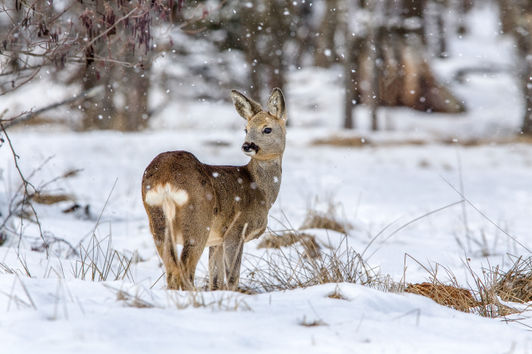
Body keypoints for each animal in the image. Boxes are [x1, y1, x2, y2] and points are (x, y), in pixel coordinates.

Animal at [142, 88, 286, 290]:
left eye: (267, 129)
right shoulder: (236, 229)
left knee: (171, 269)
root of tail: (165, 179)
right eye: (246, 129)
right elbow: (232, 277)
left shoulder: (216, 240)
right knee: (184, 269)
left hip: (157, 218)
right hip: (198, 220)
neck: (260, 189)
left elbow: (216, 280)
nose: (247, 145)